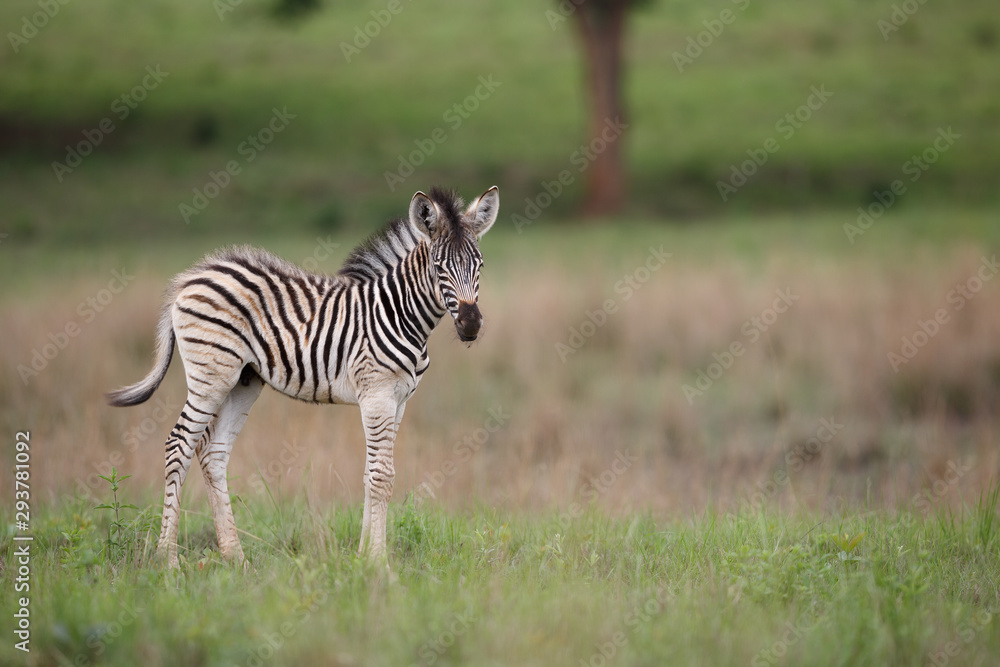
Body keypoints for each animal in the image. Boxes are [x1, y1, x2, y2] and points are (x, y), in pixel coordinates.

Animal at [107, 186, 499, 568]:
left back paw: (235, 557)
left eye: (479, 265)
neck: (399, 313)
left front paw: (362, 555)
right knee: (179, 444)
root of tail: (192, 276)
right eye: (439, 267)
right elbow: (381, 476)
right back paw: (168, 559)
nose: (471, 325)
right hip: (211, 375)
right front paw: (378, 561)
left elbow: (372, 472)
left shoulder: (399, 399)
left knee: (213, 452)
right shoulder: (377, 394)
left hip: (242, 381)